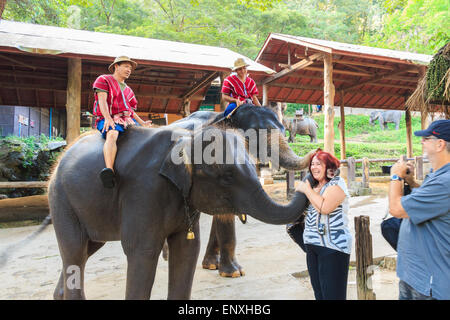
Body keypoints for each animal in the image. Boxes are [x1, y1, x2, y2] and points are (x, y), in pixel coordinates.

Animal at [48, 125, 310, 300]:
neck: (187, 139)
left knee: (87, 249)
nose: (316, 155)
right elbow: (142, 250)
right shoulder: (143, 191)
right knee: (75, 248)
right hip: (61, 199)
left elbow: (187, 248)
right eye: (226, 176)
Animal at [164, 103, 312, 278]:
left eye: (284, 130)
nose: (314, 152)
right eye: (254, 132)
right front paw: (233, 273)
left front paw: (212, 265)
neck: (226, 115)